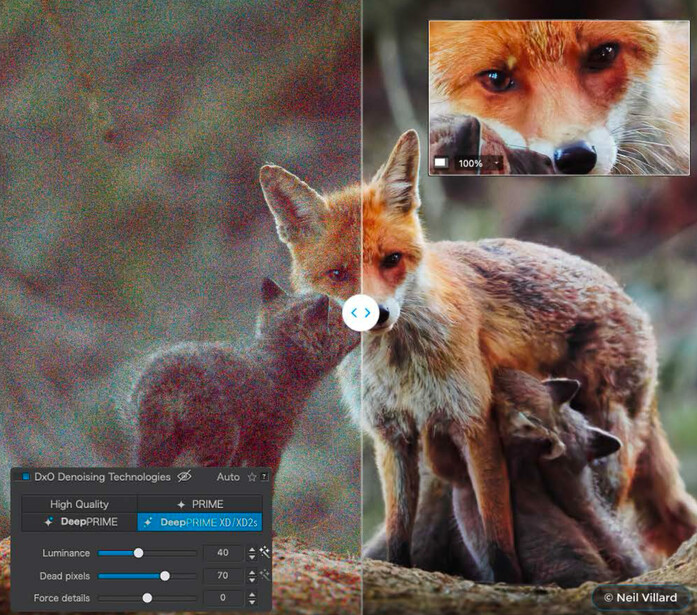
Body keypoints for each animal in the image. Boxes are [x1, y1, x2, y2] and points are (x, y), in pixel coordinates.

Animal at [130, 278, 358, 486]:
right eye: (343, 318)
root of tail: (171, 378)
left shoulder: (243, 452)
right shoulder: (269, 447)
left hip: (154, 446)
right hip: (218, 445)